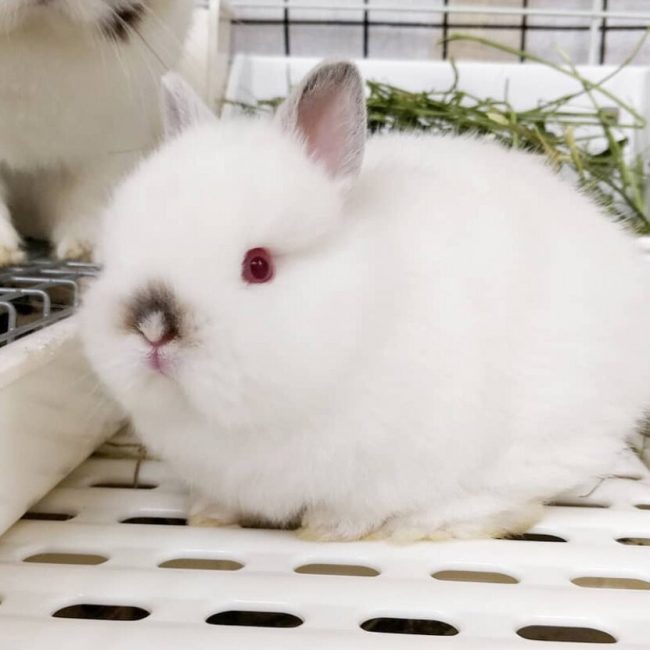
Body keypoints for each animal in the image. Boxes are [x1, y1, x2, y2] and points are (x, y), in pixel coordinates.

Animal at [81, 62, 650, 542]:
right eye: (117, 253)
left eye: (258, 265)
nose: (152, 327)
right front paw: (209, 516)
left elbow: (355, 510)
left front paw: (327, 531)